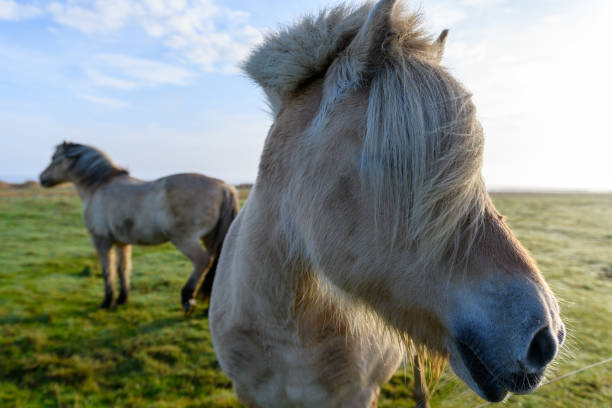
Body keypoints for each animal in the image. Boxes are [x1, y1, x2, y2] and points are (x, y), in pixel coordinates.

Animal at [39, 142, 238, 314]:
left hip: (185, 239)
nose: (41, 178)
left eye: (54, 158)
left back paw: (187, 299)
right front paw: (122, 299)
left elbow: (107, 271)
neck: (98, 186)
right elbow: (123, 269)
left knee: (202, 261)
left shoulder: (101, 240)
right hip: (209, 238)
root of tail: (224, 186)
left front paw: (107, 302)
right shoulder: (121, 242)